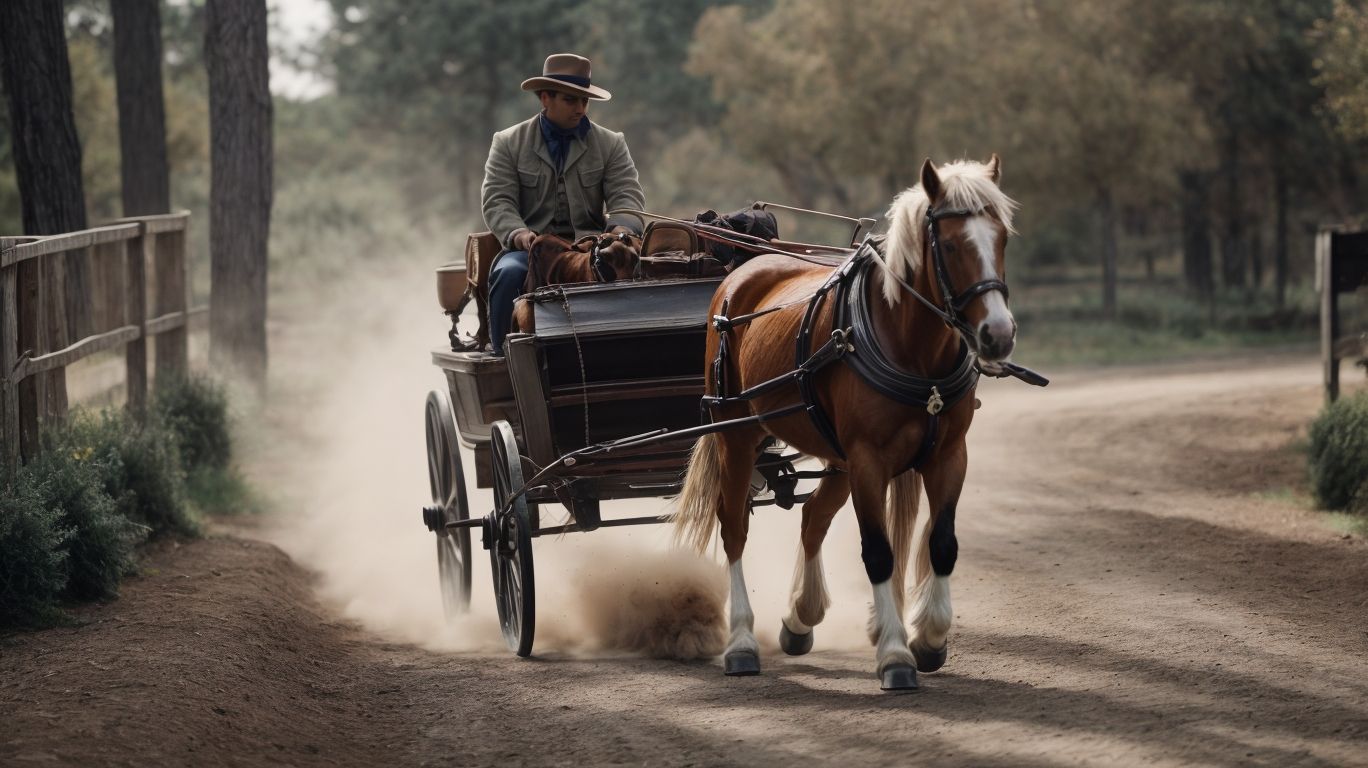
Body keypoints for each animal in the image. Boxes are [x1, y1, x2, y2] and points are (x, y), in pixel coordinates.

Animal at [672, 155, 1018, 691]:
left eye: (1001, 237)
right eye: (950, 244)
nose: (998, 335)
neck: (912, 350)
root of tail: (740, 273)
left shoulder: (948, 456)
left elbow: (941, 545)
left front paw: (929, 638)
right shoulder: (868, 461)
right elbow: (878, 552)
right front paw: (895, 653)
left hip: (834, 456)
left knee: (813, 516)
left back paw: (800, 618)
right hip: (737, 436)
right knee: (733, 529)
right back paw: (742, 642)